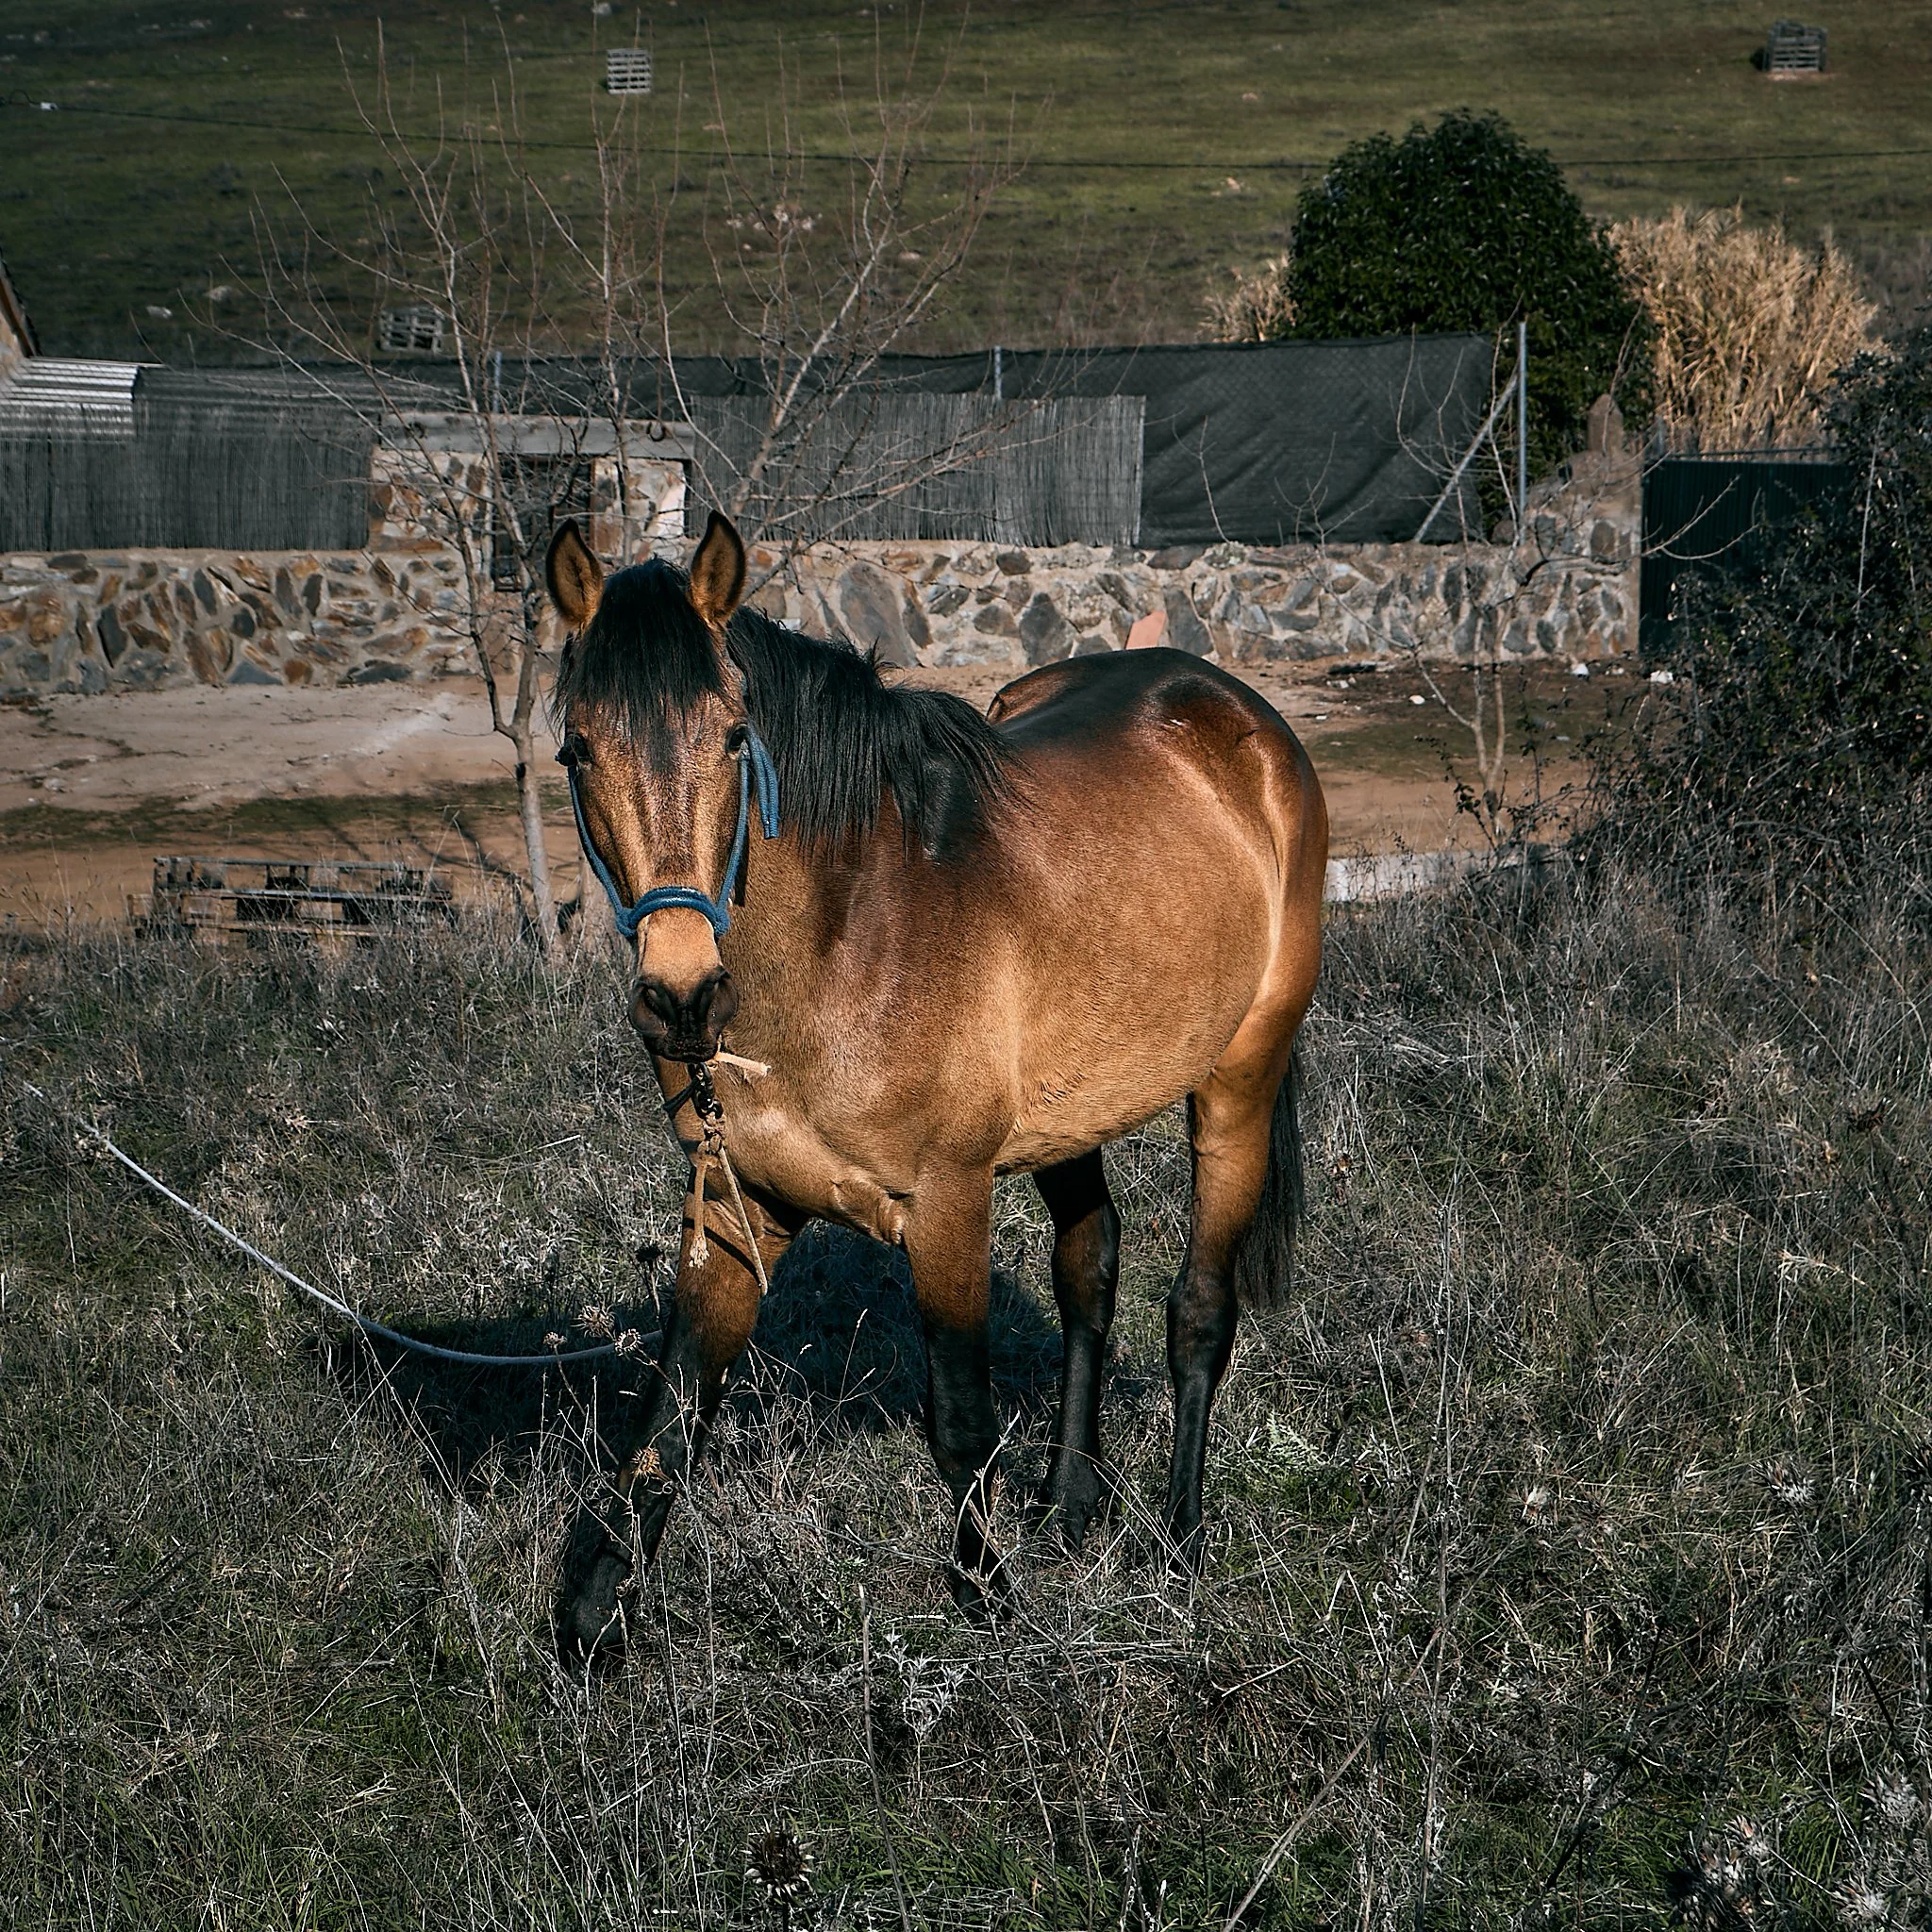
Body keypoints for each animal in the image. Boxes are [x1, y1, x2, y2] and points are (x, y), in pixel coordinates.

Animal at [549, 512, 1327, 1658]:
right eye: (577, 748)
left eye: (734, 736)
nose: (682, 996)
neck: (847, 937)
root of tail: (1242, 719)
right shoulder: (736, 1207)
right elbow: (670, 1414)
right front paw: (592, 1625)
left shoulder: (948, 1203)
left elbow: (959, 1416)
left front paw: (990, 1603)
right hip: (1068, 1120)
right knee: (1088, 1271)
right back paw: (1068, 1505)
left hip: (1238, 1082)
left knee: (1198, 1312)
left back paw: (1178, 1545)